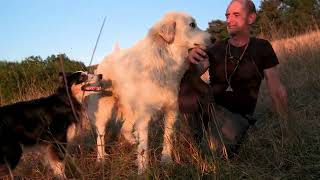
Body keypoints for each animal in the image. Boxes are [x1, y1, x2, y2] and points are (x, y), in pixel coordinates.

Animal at [89, 11, 211, 173]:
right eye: (192, 25)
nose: (214, 39)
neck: (165, 59)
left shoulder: (171, 111)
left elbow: (167, 139)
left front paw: (166, 160)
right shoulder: (145, 116)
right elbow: (144, 147)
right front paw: (143, 170)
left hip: (131, 111)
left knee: (125, 128)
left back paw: (132, 140)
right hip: (105, 110)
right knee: (101, 136)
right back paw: (101, 159)